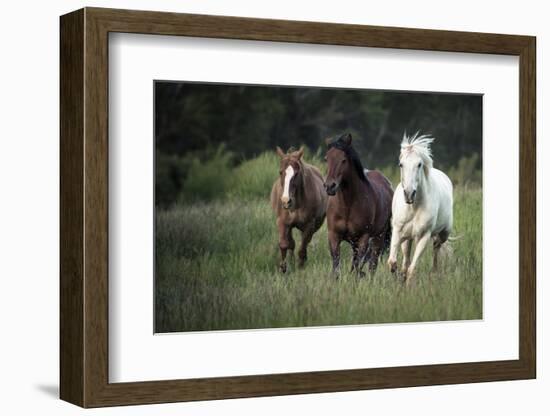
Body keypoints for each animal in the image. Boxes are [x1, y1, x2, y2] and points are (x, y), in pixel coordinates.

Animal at [326, 132, 394, 276]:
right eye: (326, 159)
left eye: (343, 160)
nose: (329, 186)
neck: (347, 205)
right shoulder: (334, 235)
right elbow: (336, 266)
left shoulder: (363, 238)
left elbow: (358, 266)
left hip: (378, 238)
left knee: (372, 264)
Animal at [388, 133, 452, 282]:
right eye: (401, 164)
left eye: (419, 164)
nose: (409, 194)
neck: (414, 207)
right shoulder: (398, 231)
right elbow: (393, 263)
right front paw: (398, 278)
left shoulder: (423, 236)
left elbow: (412, 269)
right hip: (408, 238)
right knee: (406, 258)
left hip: (444, 233)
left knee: (436, 247)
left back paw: (434, 273)